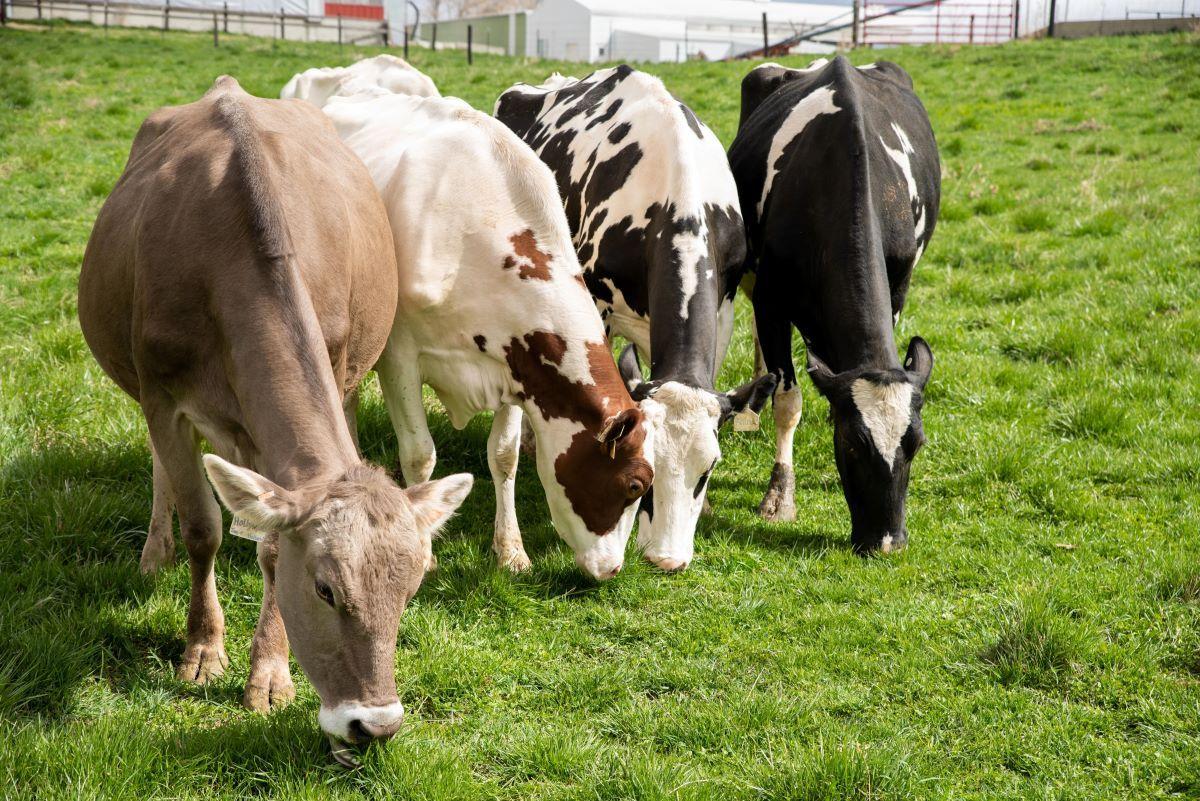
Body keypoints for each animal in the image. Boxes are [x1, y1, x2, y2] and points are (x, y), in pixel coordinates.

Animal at [78, 76, 472, 762]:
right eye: (324, 589)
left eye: (411, 591)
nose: (374, 725)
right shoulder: (163, 396)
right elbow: (204, 528)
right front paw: (203, 649)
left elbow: (266, 546)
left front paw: (269, 673)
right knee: (161, 472)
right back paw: (154, 551)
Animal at [321, 92, 657, 582]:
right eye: (635, 484)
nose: (613, 570)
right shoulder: (400, 358)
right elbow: (420, 454)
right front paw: (425, 554)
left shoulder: (517, 368)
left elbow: (504, 455)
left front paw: (511, 550)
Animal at [496, 65, 777, 573]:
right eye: (645, 476)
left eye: (708, 469)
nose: (666, 560)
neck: (676, 197)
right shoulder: (594, 305)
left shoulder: (724, 308)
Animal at [724, 56, 940, 553]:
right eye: (854, 444)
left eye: (916, 443)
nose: (887, 542)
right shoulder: (772, 300)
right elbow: (788, 399)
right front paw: (780, 497)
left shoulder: (898, 286)